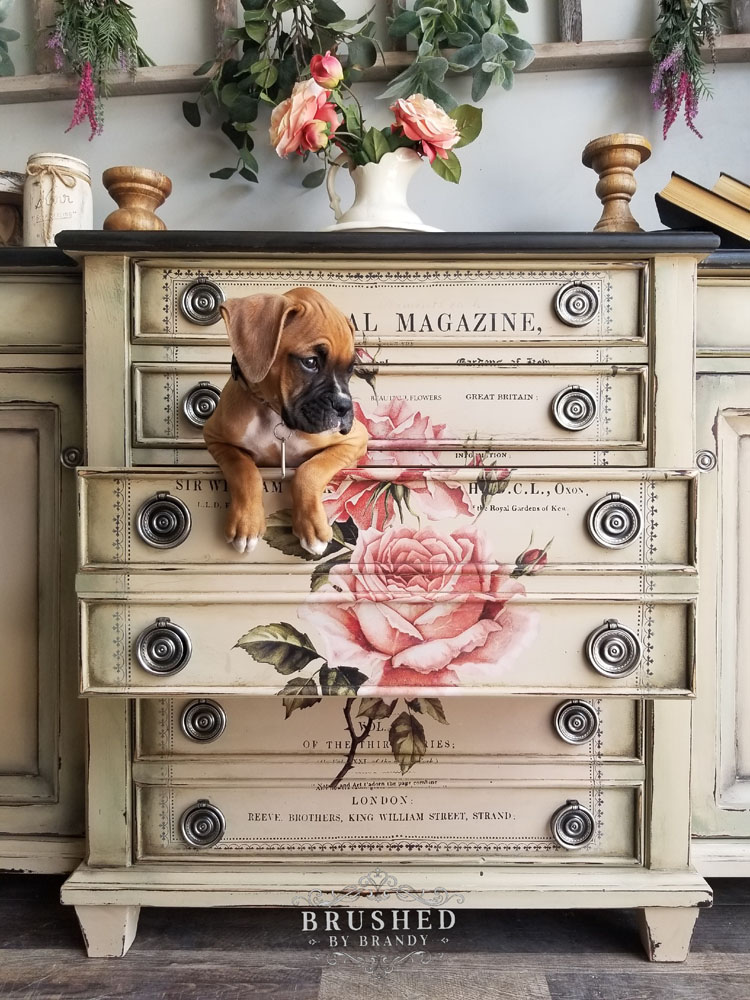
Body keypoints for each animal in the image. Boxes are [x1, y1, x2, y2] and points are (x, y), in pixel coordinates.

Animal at [204, 288, 368, 556]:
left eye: (350, 368)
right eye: (310, 362)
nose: (344, 407)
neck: (274, 412)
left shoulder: (355, 440)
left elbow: (310, 471)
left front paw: (313, 529)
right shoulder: (215, 439)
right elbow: (243, 469)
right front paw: (246, 525)